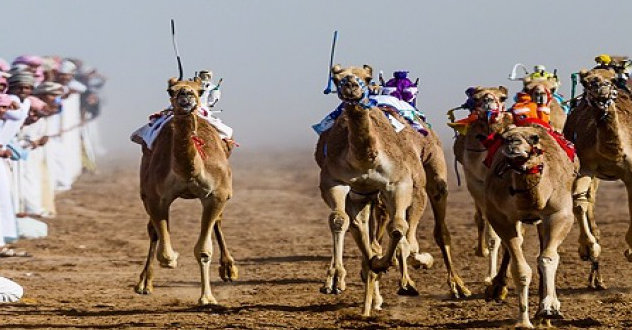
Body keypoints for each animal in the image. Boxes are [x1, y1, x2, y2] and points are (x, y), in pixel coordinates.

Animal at [134, 76, 237, 306]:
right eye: (170, 90)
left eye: (200, 90)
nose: (186, 95)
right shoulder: (156, 197)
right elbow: (163, 249)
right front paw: (172, 259)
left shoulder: (216, 195)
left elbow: (204, 250)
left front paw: (207, 298)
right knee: (152, 231)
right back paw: (144, 283)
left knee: (218, 222)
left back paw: (229, 270)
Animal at [316, 65, 470, 318]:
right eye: (336, 77)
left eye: (366, 77)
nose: (351, 86)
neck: (365, 159)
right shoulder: (335, 181)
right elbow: (341, 221)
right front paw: (337, 279)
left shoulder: (401, 184)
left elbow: (400, 231)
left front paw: (409, 271)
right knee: (365, 229)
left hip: (434, 170)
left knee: (438, 227)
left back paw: (457, 286)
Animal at [450, 86, 512, 284]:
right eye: (476, 98)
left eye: (503, 97)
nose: (489, 102)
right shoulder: (475, 182)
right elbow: (492, 233)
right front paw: (491, 275)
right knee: (480, 218)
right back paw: (481, 251)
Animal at [484, 125, 576, 328]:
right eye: (503, 138)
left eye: (534, 138)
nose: (513, 142)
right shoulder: (500, 217)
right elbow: (520, 270)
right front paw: (523, 322)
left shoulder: (561, 213)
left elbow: (548, 258)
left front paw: (550, 308)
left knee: (546, 252)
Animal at [564, 67, 632, 288]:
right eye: (587, 82)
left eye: (612, 80)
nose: (602, 91)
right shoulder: (587, 167)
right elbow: (578, 202)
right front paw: (588, 248)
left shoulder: (630, 172)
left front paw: (630, 251)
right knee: (588, 201)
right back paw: (596, 276)